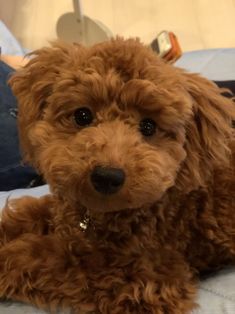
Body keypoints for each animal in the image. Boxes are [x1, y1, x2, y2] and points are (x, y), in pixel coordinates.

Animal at [0, 38, 235, 314]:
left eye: (148, 126)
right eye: (82, 115)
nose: (107, 176)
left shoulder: (148, 280)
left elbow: (47, 257)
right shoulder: (67, 207)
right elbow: (29, 213)